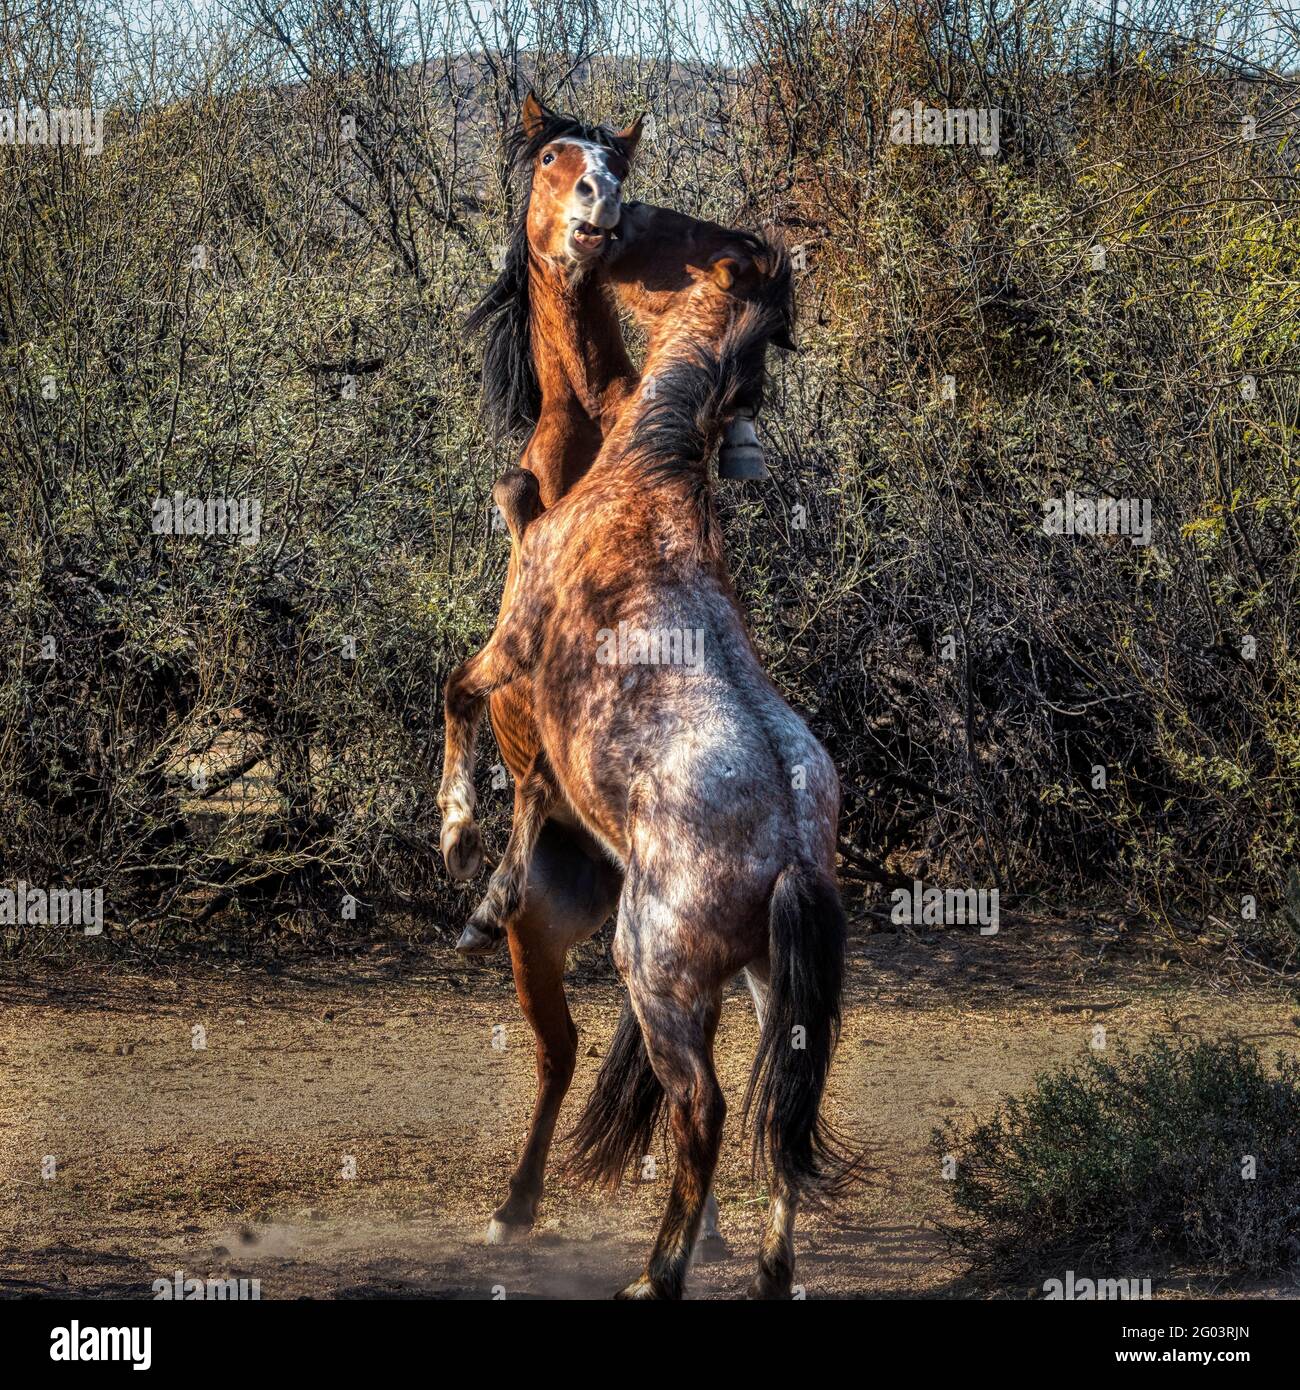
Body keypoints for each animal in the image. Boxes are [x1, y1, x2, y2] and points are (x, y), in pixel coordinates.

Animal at [442, 241, 856, 1301]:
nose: (600, 233)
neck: (648, 478)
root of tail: (789, 846)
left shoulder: (513, 646)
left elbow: (456, 695)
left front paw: (462, 843)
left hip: (657, 975)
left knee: (702, 1110)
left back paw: (654, 1275)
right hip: (768, 983)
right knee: (781, 1113)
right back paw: (769, 1272)